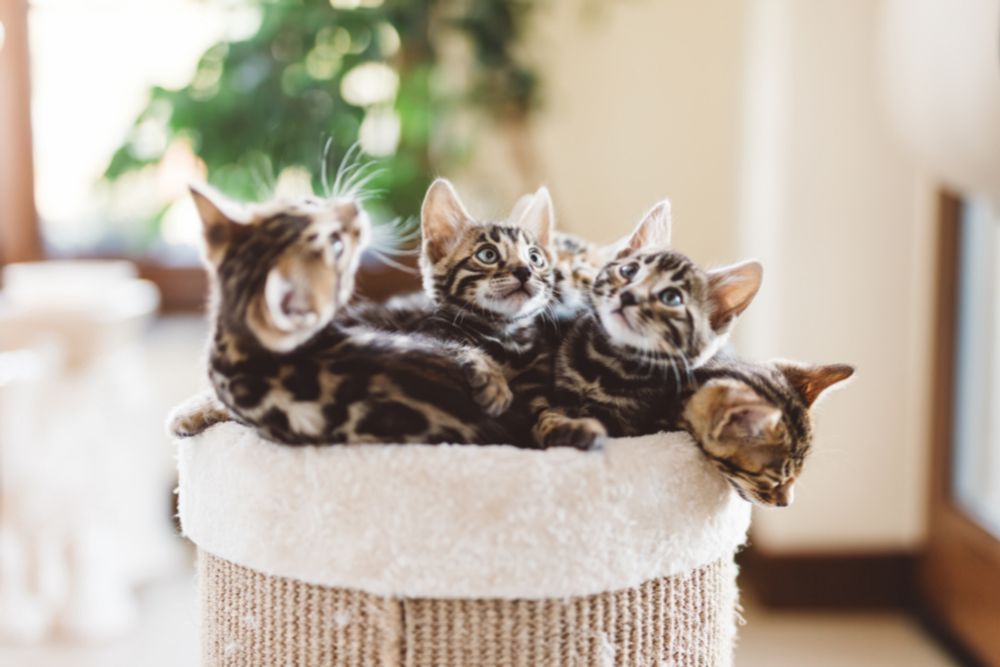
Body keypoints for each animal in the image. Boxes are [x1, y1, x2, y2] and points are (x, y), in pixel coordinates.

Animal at [536, 201, 760, 452]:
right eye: (628, 271)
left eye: (671, 298)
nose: (628, 296)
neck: (605, 363)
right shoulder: (560, 393)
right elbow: (547, 415)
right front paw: (566, 429)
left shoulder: (628, 423)